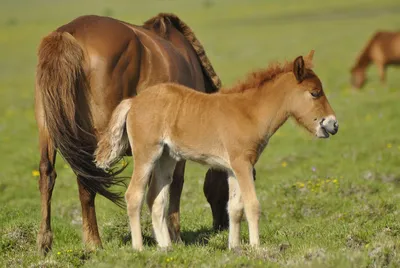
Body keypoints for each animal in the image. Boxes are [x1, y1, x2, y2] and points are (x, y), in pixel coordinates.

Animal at [94, 50, 338, 251]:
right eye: (315, 93)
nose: (333, 124)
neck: (249, 112)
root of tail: (133, 101)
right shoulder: (243, 164)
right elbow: (252, 205)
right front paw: (256, 248)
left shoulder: (232, 169)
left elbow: (235, 208)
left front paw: (235, 247)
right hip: (146, 155)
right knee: (134, 195)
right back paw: (139, 248)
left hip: (166, 158)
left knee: (156, 198)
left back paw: (166, 247)